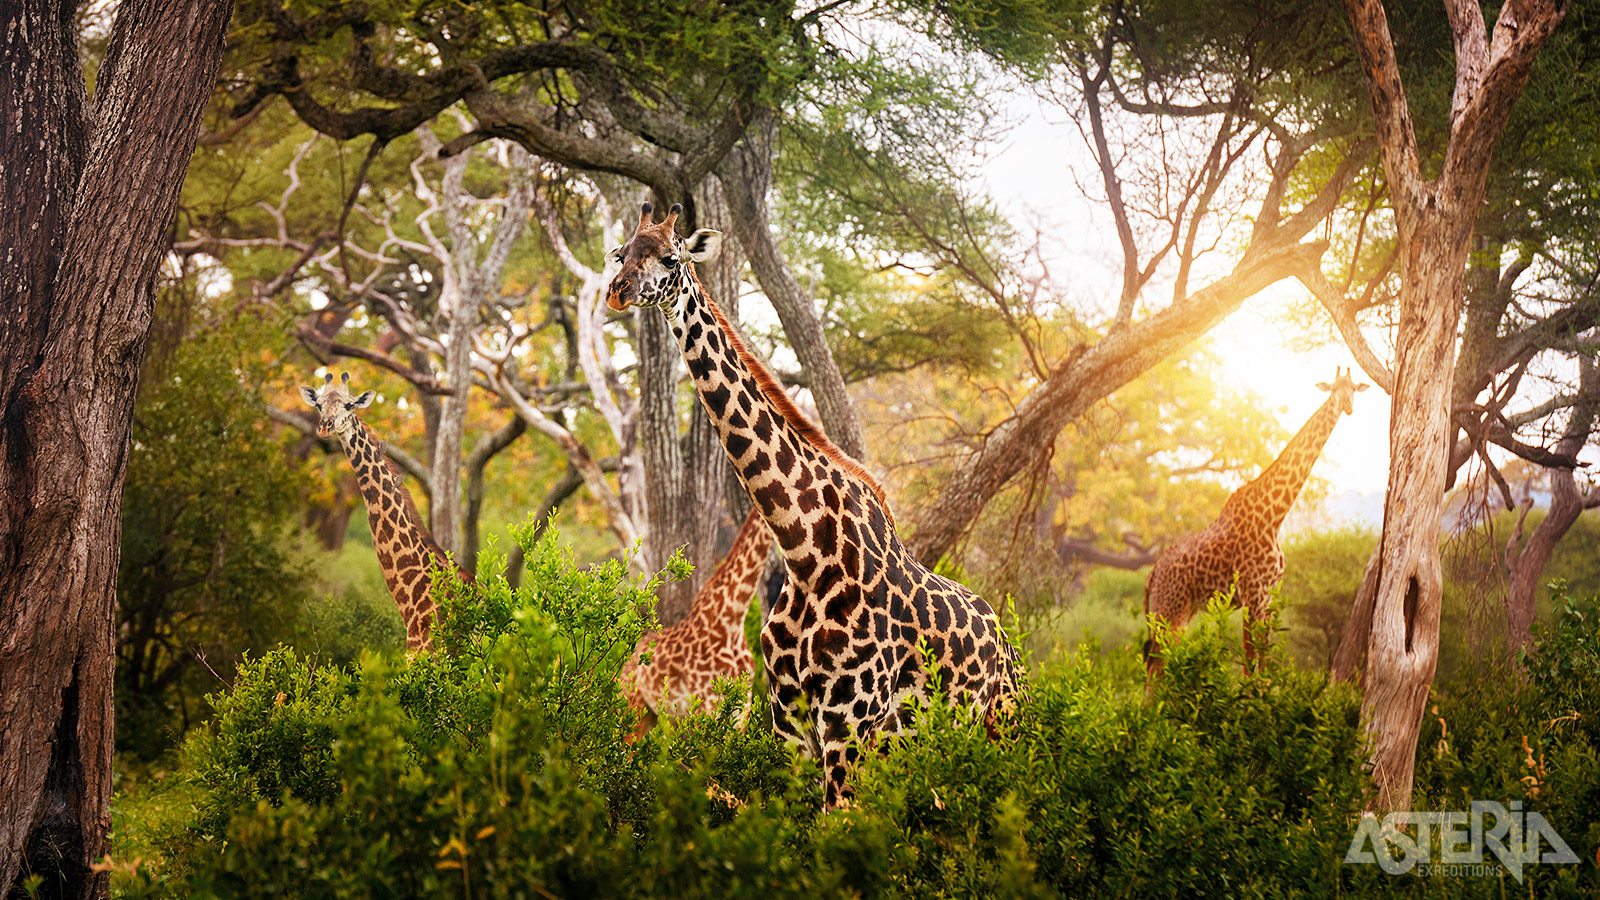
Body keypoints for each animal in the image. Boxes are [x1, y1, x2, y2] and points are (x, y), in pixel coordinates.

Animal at [1145, 366, 1369, 672]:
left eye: (1354, 388)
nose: (1347, 407)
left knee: (1162, 663)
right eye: (1334, 388)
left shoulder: (1267, 597)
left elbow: (1263, 667)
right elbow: (1250, 667)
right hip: (1169, 610)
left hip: (1184, 610)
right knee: (1153, 667)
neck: (1274, 516)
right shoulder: (1252, 594)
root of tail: (1152, 575)